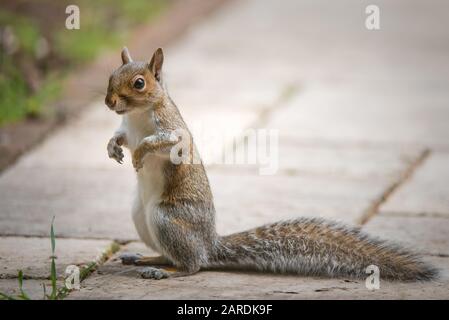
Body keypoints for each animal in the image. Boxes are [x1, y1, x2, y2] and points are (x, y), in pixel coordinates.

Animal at [103, 46, 436, 282]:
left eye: (139, 83)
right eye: (111, 76)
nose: (109, 101)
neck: (137, 115)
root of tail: (209, 244)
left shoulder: (174, 132)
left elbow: (159, 143)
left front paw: (139, 153)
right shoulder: (127, 128)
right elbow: (121, 136)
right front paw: (113, 148)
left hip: (166, 219)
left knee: (191, 265)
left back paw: (164, 270)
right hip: (140, 216)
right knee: (174, 255)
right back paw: (146, 259)